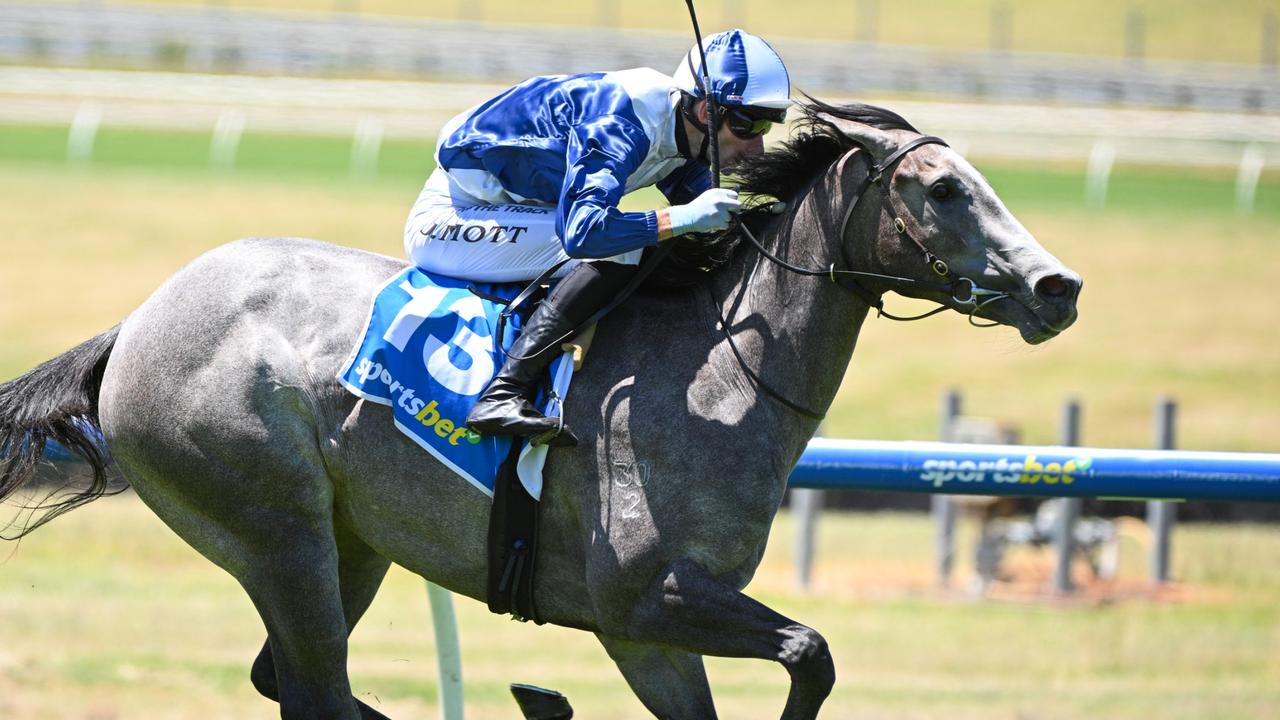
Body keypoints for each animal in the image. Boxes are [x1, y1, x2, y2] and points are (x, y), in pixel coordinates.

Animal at [0, 102, 1080, 717]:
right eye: (942, 188)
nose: (1056, 286)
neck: (716, 380)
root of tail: (140, 320)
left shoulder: (654, 635)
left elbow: (794, 661)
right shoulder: (645, 601)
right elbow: (809, 652)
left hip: (350, 540)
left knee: (294, 681)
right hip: (276, 528)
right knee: (316, 685)